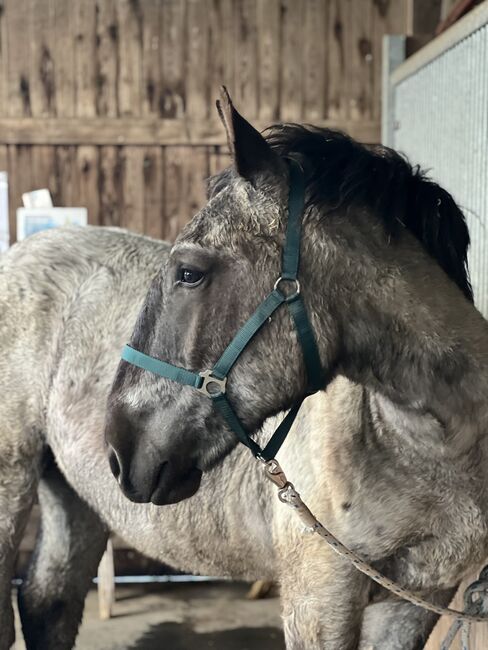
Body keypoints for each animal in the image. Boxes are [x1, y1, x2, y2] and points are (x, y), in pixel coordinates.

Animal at [0, 95, 486, 648]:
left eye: (189, 273)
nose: (121, 450)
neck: (424, 446)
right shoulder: (319, 597)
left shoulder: (416, 598)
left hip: (72, 497)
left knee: (49, 601)